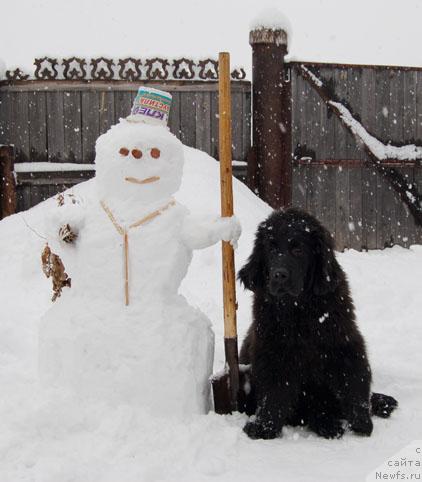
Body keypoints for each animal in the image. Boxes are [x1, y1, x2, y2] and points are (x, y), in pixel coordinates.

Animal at [239, 209, 398, 438]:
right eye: (271, 248)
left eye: (298, 250)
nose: (279, 275)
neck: (298, 309)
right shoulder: (272, 352)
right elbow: (273, 393)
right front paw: (264, 427)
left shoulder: (344, 342)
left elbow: (355, 381)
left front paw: (361, 422)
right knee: (312, 411)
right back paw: (327, 424)